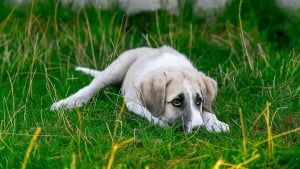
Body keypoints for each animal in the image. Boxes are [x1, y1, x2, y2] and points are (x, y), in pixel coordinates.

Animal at [50, 45, 229, 133]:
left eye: (199, 101)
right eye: (177, 102)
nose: (199, 129)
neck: (172, 67)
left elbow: (207, 110)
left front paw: (214, 122)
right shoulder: (132, 101)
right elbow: (150, 113)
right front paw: (162, 123)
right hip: (117, 67)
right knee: (91, 87)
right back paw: (68, 102)